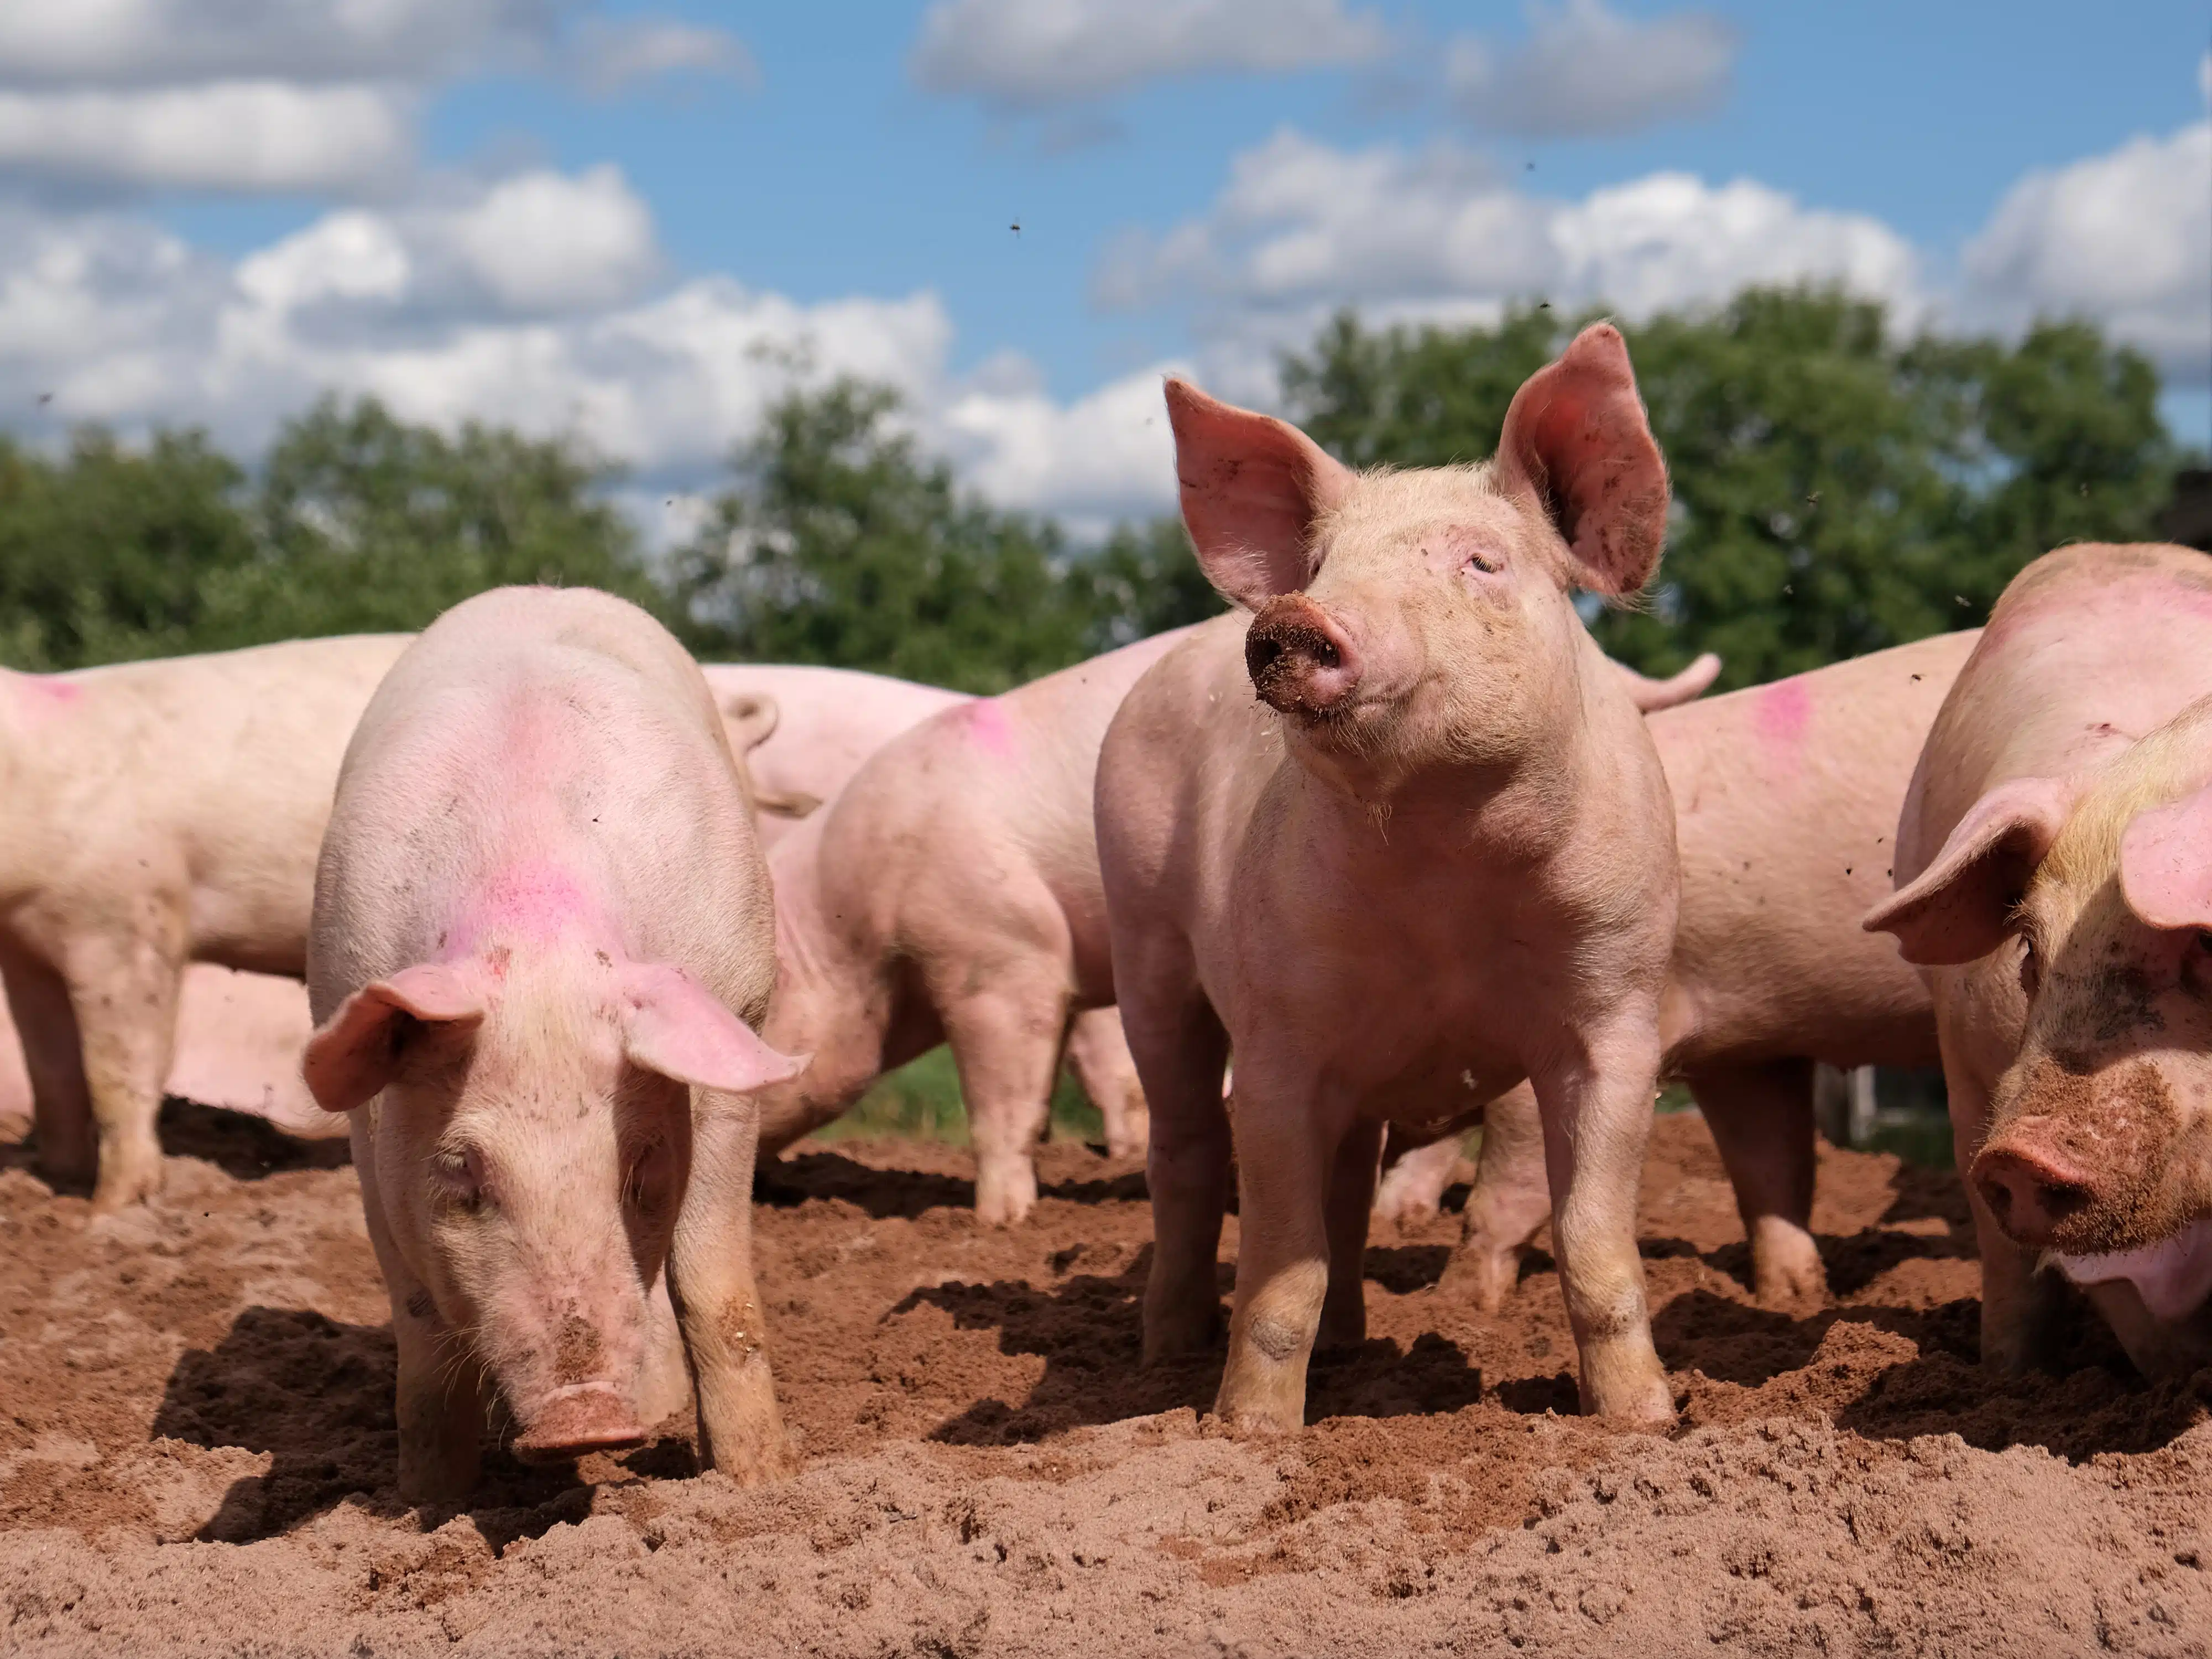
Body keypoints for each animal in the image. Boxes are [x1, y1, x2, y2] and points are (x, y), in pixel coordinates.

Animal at [303, 588, 805, 1504]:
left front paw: (757, 1483)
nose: (586, 1420)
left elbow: (714, 1286)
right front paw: (425, 1505)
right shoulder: (364, 1108)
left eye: (638, 1169)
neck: (536, 919)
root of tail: (544, 589)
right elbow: (420, 1327)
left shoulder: (734, 1022)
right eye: (463, 1173)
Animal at [761, 619, 1708, 1230]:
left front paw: (1000, 1222)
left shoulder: (1001, 953)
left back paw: (1401, 1216)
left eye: (757, 1014)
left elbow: (1007, 1092)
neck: (863, 942)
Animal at [1097, 325, 1681, 1433]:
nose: (1293, 618)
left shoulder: (1618, 1013)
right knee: (1185, 1154)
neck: (1446, 869)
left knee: (1348, 1190)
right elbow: (1280, 1267)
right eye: (1326, 563)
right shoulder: (1278, 1038)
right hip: (1145, 947)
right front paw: (1249, 1435)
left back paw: (1351, 1348)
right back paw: (1162, 1360)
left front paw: (1645, 1424)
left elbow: (1593, 1245)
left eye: (1483, 561)